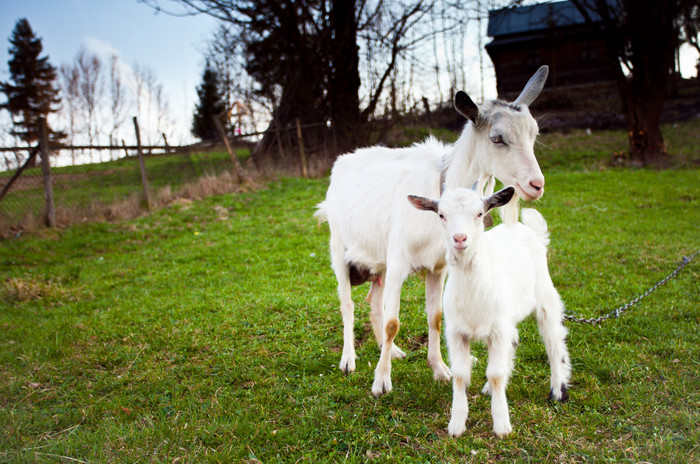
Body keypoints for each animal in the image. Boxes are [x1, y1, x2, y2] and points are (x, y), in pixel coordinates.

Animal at [314, 67, 548, 396]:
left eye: (534, 133)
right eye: (497, 138)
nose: (536, 185)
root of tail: (342, 163)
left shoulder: (437, 268)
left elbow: (434, 317)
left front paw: (440, 369)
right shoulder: (399, 262)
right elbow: (393, 322)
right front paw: (381, 381)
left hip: (379, 260)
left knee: (374, 301)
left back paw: (392, 351)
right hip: (339, 247)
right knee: (347, 302)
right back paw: (349, 360)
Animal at [410, 183, 568, 436]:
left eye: (479, 214)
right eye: (442, 215)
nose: (460, 238)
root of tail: (529, 230)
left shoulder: (498, 331)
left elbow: (495, 374)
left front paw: (502, 424)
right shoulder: (457, 333)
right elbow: (460, 376)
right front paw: (456, 423)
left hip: (546, 298)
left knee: (554, 343)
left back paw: (558, 391)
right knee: (514, 340)